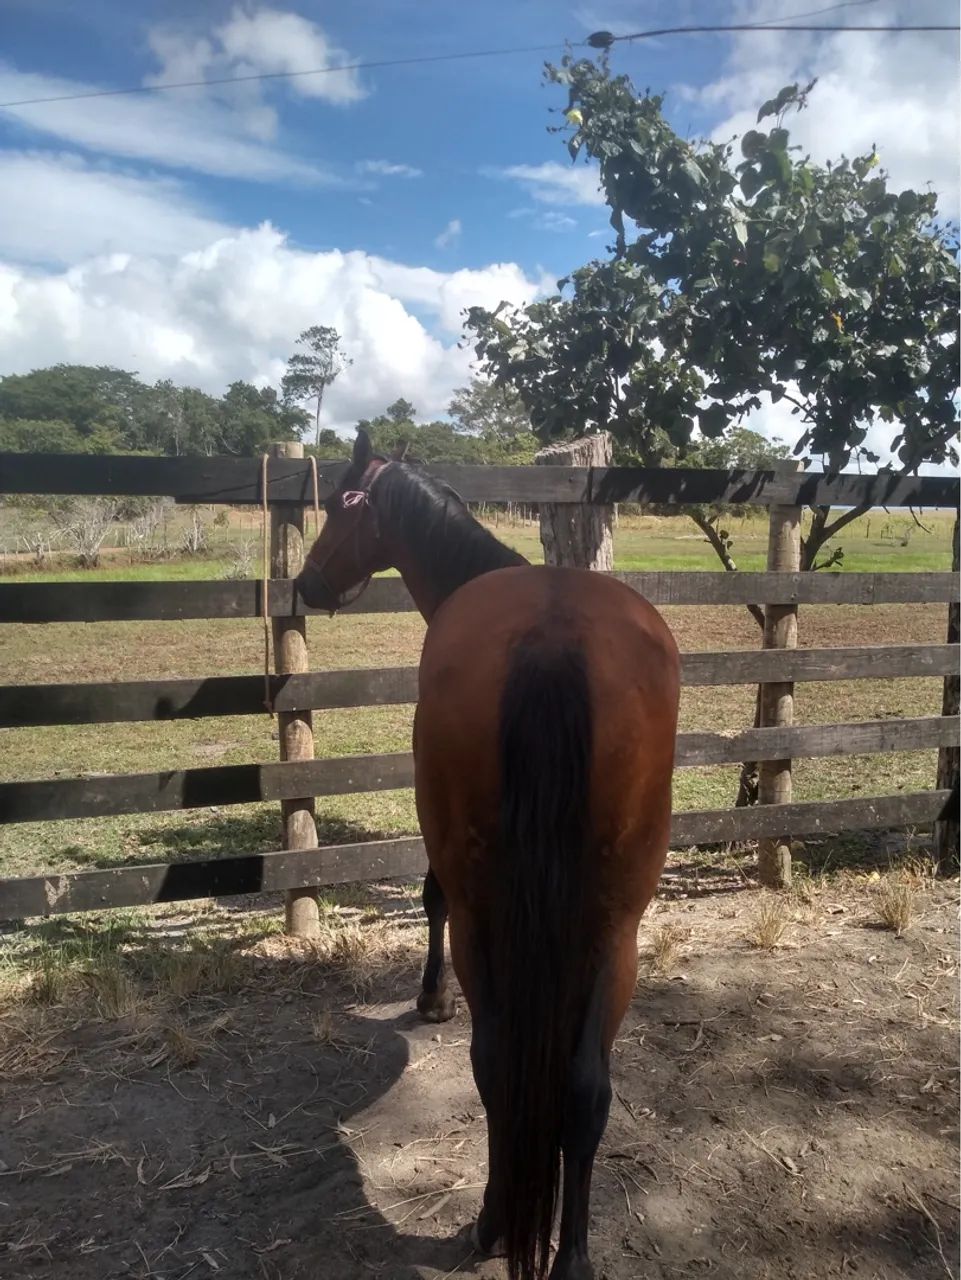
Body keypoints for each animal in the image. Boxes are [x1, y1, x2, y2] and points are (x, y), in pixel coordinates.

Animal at [295, 430, 680, 1280]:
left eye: (337, 505)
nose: (304, 581)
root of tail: (551, 636)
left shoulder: (454, 879)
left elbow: (429, 897)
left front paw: (430, 997)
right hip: (615, 928)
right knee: (583, 1089)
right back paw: (570, 1257)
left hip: (489, 920)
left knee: (496, 1065)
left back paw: (493, 1222)